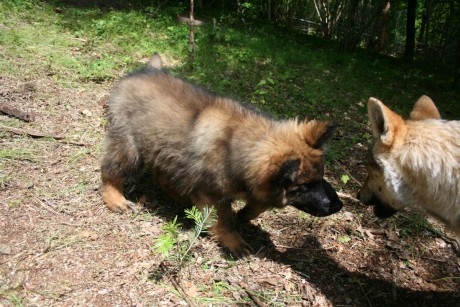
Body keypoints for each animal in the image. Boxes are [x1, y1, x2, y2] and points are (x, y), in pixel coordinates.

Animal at [103, 54, 342, 258]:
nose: (339, 205)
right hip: (129, 148)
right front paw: (234, 241)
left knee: (164, 178)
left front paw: (242, 216)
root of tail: (146, 71)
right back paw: (116, 199)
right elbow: (225, 220)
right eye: (304, 187)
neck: (237, 145)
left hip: (168, 152)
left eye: (321, 178)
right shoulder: (214, 195)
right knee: (110, 171)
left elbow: (256, 206)